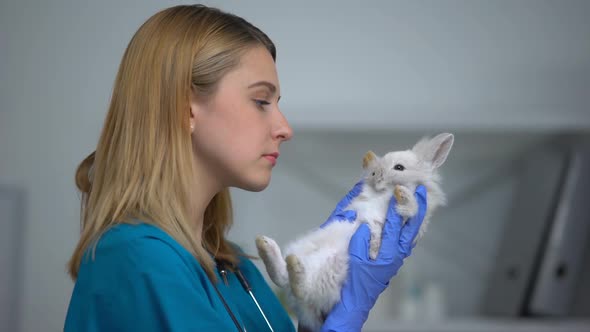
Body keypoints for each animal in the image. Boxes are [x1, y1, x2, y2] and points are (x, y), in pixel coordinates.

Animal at [256, 132, 456, 330]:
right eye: (381, 163)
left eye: (399, 167)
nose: (376, 172)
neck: (385, 192)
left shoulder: (411, 218)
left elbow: (411, 207)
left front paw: (402, 194)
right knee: (286, 279)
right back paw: (268, 247)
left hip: (329, 269)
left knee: (297, 287)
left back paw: (286, 261)